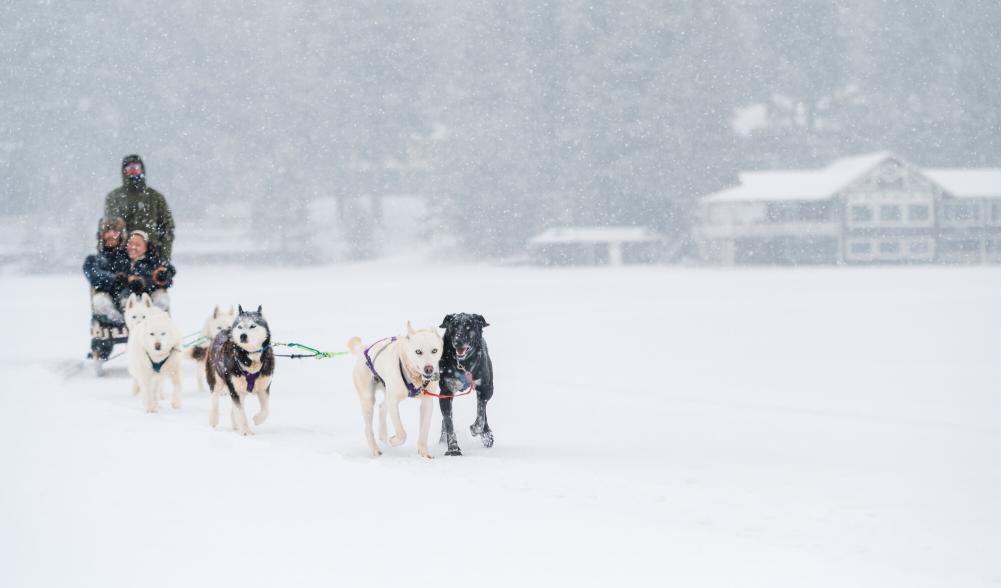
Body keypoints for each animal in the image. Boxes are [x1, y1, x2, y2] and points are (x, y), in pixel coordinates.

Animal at [348, 324, 442, 458]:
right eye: (418, 351)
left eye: (434, 350)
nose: (429, 369)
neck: (414, 378)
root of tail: (363, 349)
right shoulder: (393, 402)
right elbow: (402, 433)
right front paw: (393, 440)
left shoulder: (427, 403)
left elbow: (424, 431)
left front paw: (424, 453)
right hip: (368, 400)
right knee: (368, 429)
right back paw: (375, 450)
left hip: (387, 393)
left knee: (382, 407)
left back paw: (383, 436)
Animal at [440, 312, 494, 454]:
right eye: (454, 325)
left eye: (469, 326)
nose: (458, 341)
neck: (463, 364)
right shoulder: (445, 393)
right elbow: (449, 422)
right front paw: (453, 448)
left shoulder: (485, 389)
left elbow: (481, 415)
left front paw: (478, 430)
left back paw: (487, 434)